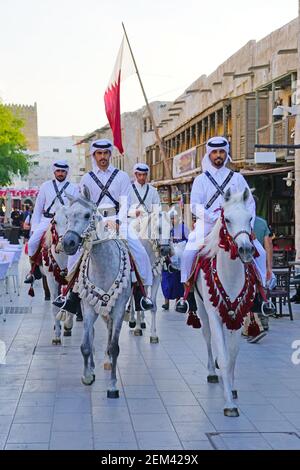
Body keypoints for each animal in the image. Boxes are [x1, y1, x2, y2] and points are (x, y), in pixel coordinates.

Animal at [62, 186, 131, 396]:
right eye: (67, 215)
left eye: (87, 215)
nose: (68, 242)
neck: (103, 265)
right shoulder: (88, 307)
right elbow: (86, 344)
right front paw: (87, 376)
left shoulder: (119, 308)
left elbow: (114, 346)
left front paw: (113, 385)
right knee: (92, 334)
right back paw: (92, 366)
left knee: (109, 333)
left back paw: (107, 362)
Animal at [195, 189, 255, 416]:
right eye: (227, 219)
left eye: (250, 218)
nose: (246, 250)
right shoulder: (214, 314)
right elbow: (223, 353)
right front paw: (229, 403)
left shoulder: (239, 316)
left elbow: (233, 356)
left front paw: (232, 387)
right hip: (202, 310)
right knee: (207, 338)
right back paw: (213, 371)